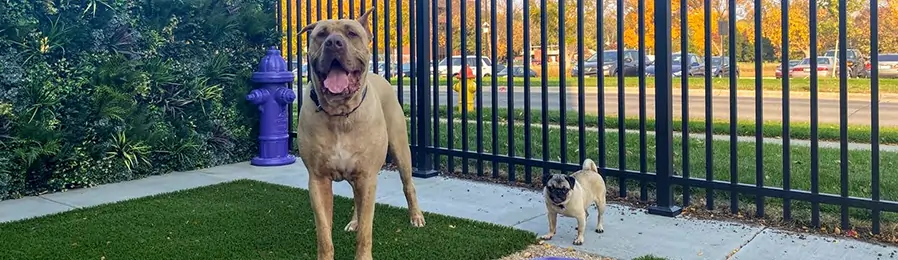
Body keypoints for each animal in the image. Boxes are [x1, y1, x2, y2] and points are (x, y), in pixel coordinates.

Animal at [296, 8, 426, 260]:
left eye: (352, 33)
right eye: (321, 34)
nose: (334, 43)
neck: (340, 115)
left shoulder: (367, 177)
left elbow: (365, 232)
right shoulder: (318, 180)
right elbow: (324, 234)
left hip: (400, 150)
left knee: (409, 185)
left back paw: (416, 216)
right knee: (356, 201)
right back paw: (354, 221)